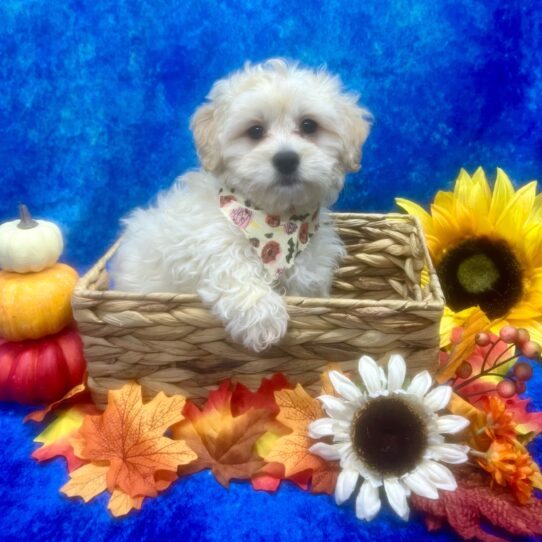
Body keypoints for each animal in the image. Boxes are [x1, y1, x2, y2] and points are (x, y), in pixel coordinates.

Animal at [111, 58, 374, 352]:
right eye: (255, 131)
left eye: (309, 126)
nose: (286, 160)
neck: (278, 220)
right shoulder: (206, 243)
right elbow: (232, 267)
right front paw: (264, 318)